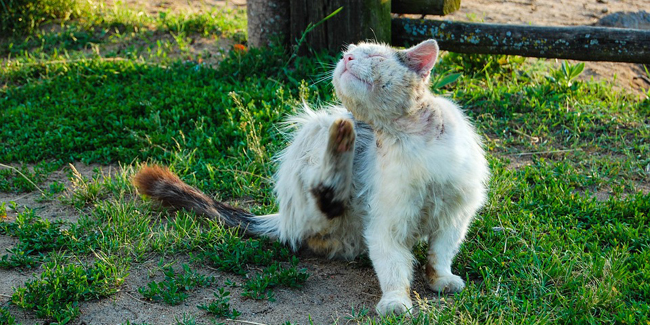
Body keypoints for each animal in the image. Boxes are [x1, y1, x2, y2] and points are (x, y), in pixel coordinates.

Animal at [134, 38, 488, 314]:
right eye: (349, 53)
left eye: (373, 56)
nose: (346, 59)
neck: (407, 137)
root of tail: (283, 217)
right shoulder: (387, 224)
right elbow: (392, 267)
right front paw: (395, 301)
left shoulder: (456, 214)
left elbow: (440, 252)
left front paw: (441, 278)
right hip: (317, 128)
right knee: (322, 197)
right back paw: (341, 141)